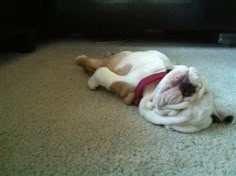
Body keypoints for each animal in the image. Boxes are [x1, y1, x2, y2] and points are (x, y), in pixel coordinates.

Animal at [75, 50, 232, 133]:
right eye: (206, 93)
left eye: (173, 113)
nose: (188, 90)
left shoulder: (125, 82)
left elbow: (101, 71)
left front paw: (92, 81)